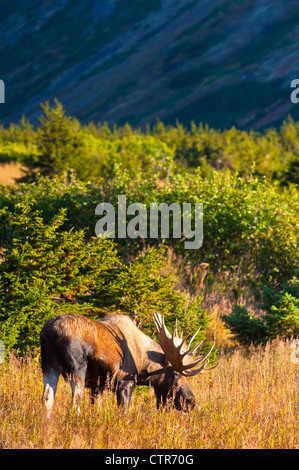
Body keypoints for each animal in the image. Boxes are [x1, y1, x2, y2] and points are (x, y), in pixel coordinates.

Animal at [40, 312, 218, 414]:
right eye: (177, 375)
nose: (191, 401)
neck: (143, 366)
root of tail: (50, 332)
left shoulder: (98, 385)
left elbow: (95, 409)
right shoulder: (125, 382)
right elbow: (124, 411)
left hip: (49, 366)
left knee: (47, 398)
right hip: (76, 370)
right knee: (75, 400)